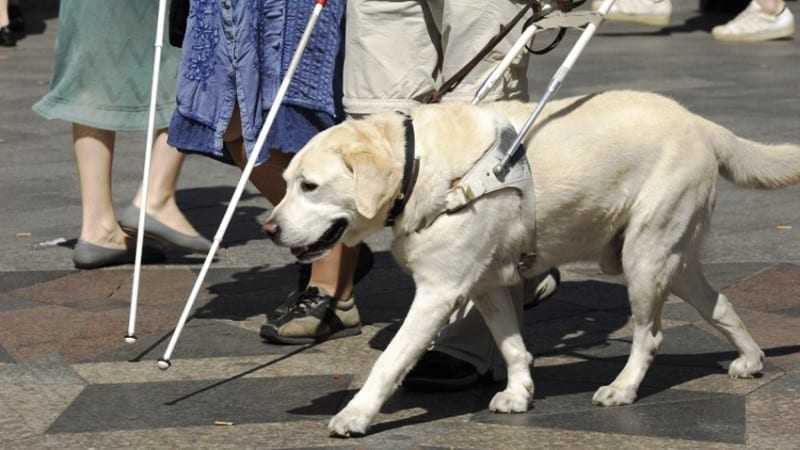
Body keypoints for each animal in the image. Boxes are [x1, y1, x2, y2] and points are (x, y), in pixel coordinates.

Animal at [264, 89, 800, 438]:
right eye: (286, 183)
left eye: (310, 186)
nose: (269, 228)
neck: (422, 167)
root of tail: (699, 122)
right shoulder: (485, 285)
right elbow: (512, 346)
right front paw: (520, 393)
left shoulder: (439, 291)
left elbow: (390, 360)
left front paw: (356, 415)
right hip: (673, 259)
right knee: (721, 303)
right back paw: (751, 359)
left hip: (645, 257)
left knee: (650, 336)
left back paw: (622, 388)